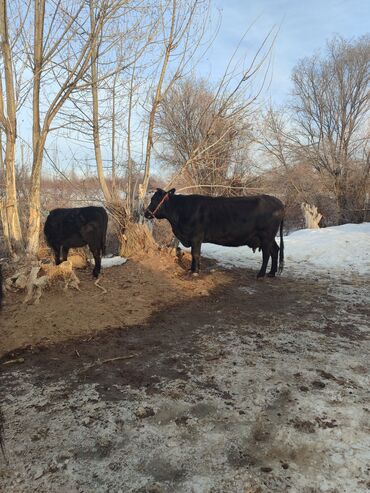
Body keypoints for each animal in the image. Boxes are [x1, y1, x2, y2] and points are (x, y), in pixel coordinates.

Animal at [145, 188, 284, 276]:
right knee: (275, 250)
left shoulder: (196, 237)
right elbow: (194, 254)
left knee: (266, 254)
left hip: (266, 236)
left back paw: (261, 274)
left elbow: (195, 254)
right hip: (269, 238)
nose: (146, 213)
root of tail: (278, 202)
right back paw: (271, 273)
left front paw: (195, 272)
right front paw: (192, 269)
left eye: (155, 200)